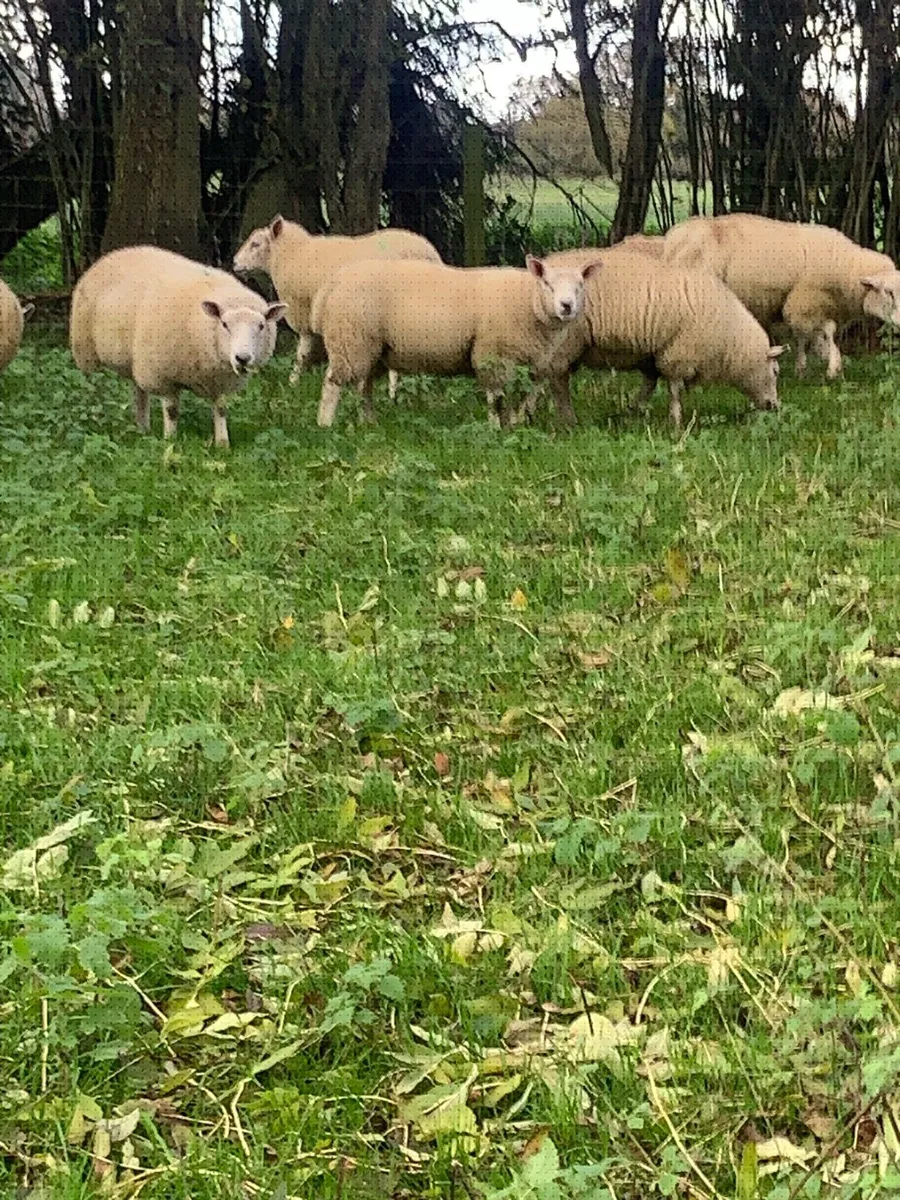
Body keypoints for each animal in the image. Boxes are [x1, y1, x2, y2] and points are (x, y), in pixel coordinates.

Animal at [70, 246, 286, 448]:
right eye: (224, 324)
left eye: (261, 326)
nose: (242, 358)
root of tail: (114, 253)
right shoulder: (163, 375)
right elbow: (172, 411)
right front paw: (170, 441)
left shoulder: (218, 379)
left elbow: (221, 409)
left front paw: (222, 443)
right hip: (86, 352)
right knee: (89, 387)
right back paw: (93, 419)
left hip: (137, 360)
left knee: (139, 393)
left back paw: (142, 428)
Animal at [232, 215, 443, 400]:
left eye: (255, 244)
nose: (234, 263)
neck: (293, 255)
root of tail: (429, 254)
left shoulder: (307, 316)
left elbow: (302, 354)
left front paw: (292, 384)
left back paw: (392, 394)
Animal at [308, 255, 600, 428]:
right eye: (548, 284)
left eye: (580, 286)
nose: (566, 306)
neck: (529, 302)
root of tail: (331, 283)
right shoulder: (492, 356)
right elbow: (496, 398)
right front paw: (496, 428)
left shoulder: (532, 363)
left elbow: (523, 395)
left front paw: (513, 423)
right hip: (350, 339)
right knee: (332, 383)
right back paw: (325, 425)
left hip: (372, 348)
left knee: (364, 387)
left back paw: (369, 423)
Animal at [539, 247, 784, 430]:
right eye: (775, 371)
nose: (774, 406)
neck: (729, 334)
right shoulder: (679, 353)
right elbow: (675, 390)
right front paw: (675, 423)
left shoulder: (653, 354)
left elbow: (649, 384)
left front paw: (633, 411)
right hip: (565, 342)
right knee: (558, 381)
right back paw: (567, 421)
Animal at [660, 213, 900, 379]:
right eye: (887, 292)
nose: (899, 323)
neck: (845, 266)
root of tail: (672, 240)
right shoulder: (803, 302)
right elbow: (821, 331)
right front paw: (829, 365)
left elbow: (812, 335)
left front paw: (814, 361)